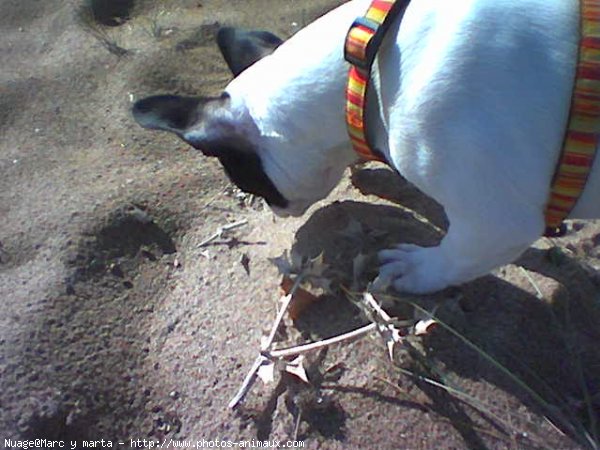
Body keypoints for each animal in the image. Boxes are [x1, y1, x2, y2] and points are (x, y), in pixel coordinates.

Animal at [132, 0, 600, 294]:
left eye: (250, 183)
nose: (274, 210)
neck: (365, 72)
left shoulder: (497, 220)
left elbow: (457, 253)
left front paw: (417, 270)